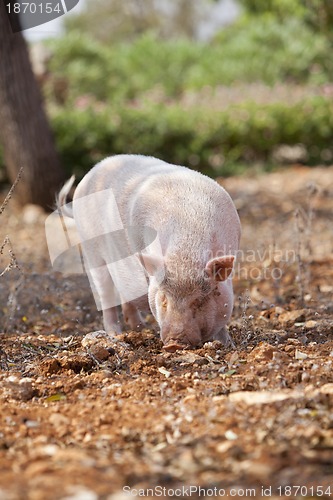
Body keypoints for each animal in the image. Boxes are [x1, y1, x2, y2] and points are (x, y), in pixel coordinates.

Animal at [57, 154, 239, 354]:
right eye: (164, 299)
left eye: (199, 301)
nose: (175, 343)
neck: (186, 252)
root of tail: (89, 175)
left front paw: (228, 344)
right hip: (92, 253)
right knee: (106, 294)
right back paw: (115, 334)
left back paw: (139, 328)